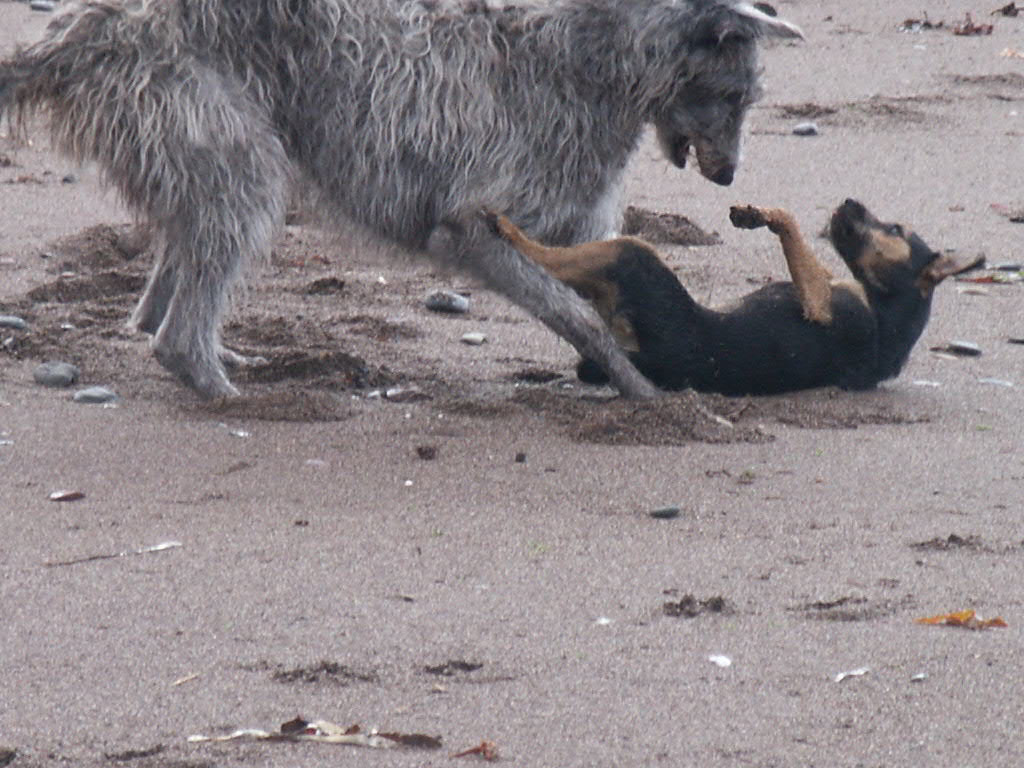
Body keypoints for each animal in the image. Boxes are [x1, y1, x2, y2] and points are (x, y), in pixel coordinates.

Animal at [0, 0, 798, 397]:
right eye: (735, 96)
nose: (729, 178)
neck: (589, 57)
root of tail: (79, 27)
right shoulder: (471, 229)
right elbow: (578, 316)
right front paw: (646, 393)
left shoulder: (575, 224)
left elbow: (599, 295)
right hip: (222, 138)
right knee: (181, 317)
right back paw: (218, 382)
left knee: (161, 296)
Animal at [483, 201, 978, 397]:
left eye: (894, 229)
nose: (848, 202)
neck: (888, 309)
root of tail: (653, 357)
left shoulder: (822, 306)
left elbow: (788, 221)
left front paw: (764, 215)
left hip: (633, 257)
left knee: (549, 257)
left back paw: (507, 228)